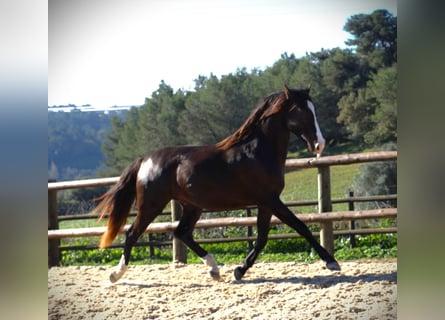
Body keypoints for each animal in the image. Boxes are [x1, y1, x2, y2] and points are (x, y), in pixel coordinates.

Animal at [94, 85, 340, 282]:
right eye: (302, 111)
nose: (319, 144)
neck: (258, 152)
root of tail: (145, 159)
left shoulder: (266, 203)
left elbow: (262, 238)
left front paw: (239, 270)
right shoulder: (270, 200)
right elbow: (300, 226)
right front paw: (331, 262)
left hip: (192, 206)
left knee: (182, 233)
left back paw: (214, 269)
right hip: (151, 205)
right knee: (132, 234)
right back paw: (116, 274)